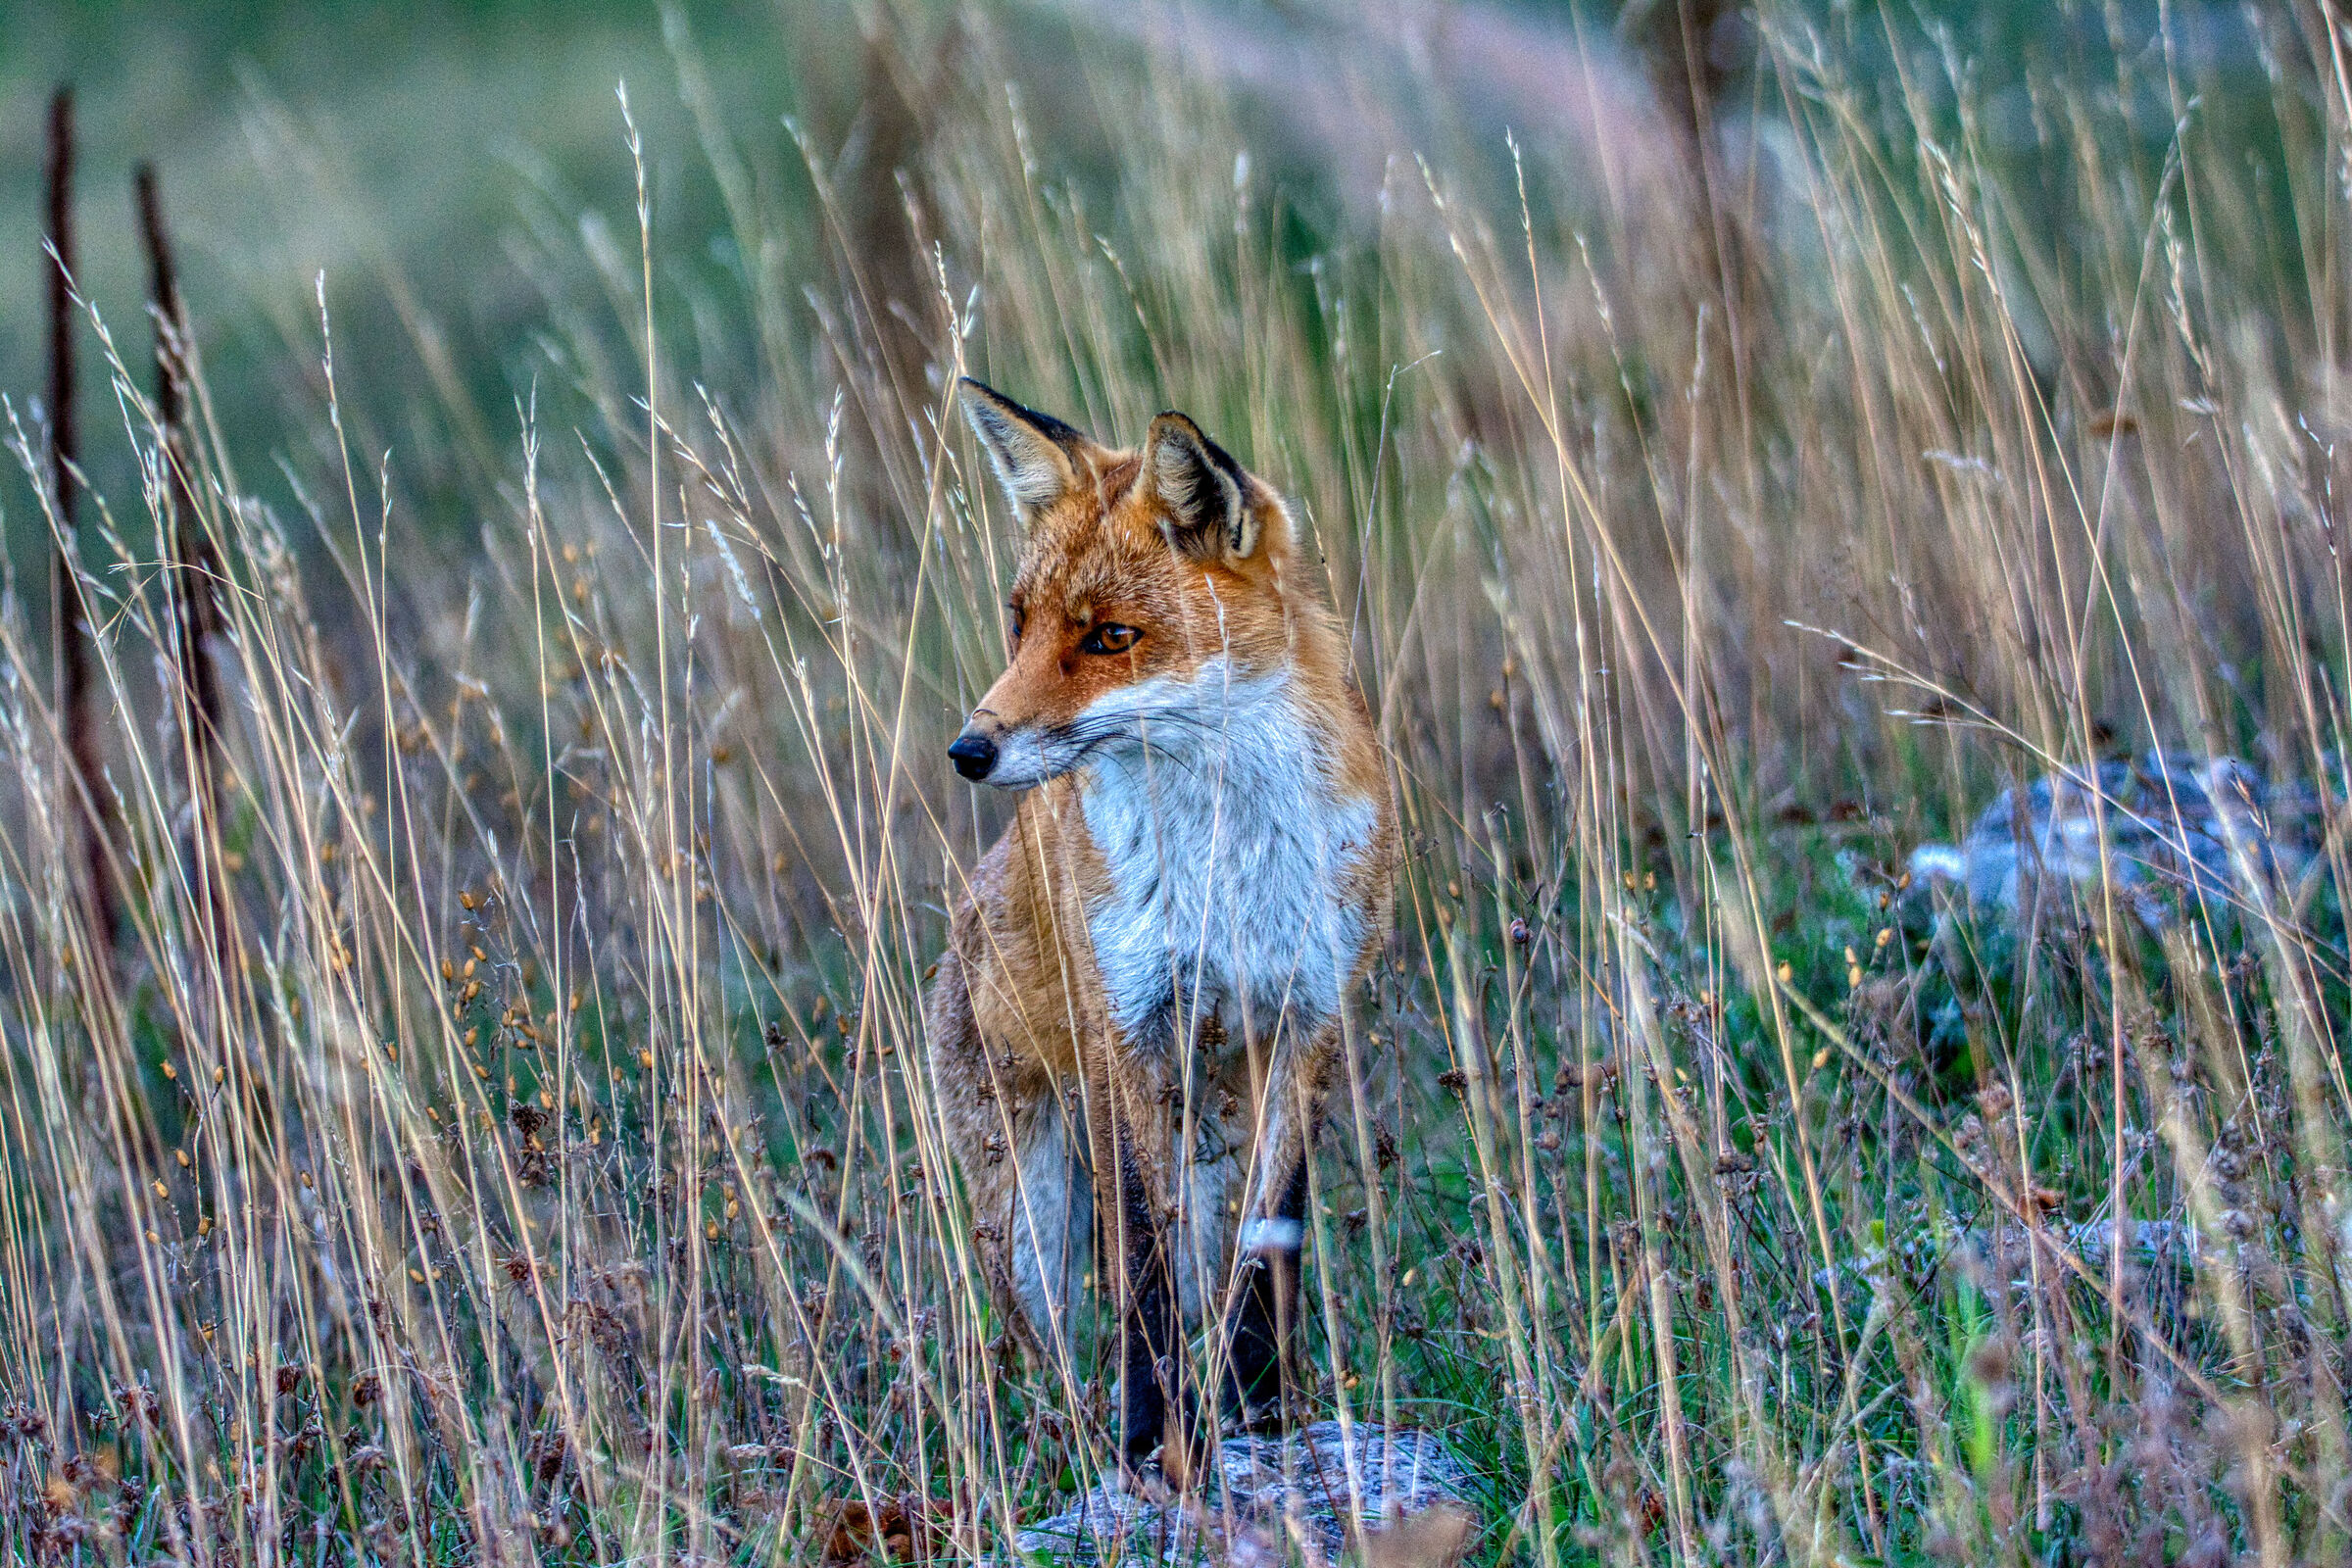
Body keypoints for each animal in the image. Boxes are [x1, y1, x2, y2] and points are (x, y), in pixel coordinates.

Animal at [926, 378, 1398, 1482]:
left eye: (1110, 637)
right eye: (1020, 622)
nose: (970, 750)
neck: (1230, 865)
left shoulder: (1306, 1021)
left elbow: (1272, 1245)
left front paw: (1261, 1408)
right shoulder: (1124, 1033)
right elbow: (1139, 1269)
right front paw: (1150, 1438)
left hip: (1207, 1139)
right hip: (1029, 1220)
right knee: (1051, 1345)